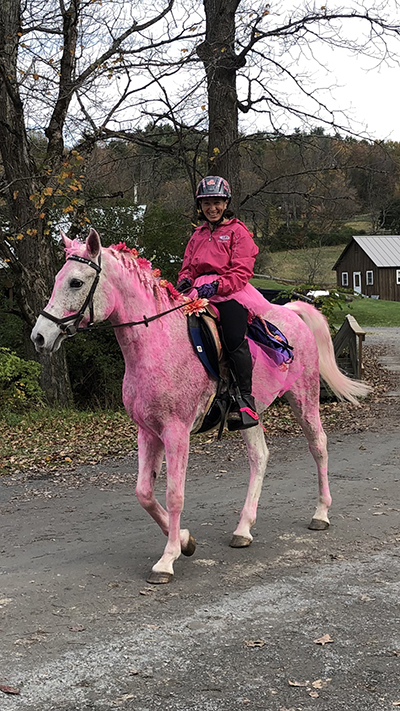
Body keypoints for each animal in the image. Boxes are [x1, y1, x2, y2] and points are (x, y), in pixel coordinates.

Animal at [31, 228, 370, 584]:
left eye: (76, 282)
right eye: (58, 279)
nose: (39, 336)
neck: (157, 343)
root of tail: (291, 311)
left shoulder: (176, 431)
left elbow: (174, 495)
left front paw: (167, 559)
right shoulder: (147, 431)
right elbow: (144, 492)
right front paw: (184, 540)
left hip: (304, 398)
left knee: (318, 445)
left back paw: (321, 513)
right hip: (249, 415)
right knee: (259, 457)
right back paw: (243, 529)